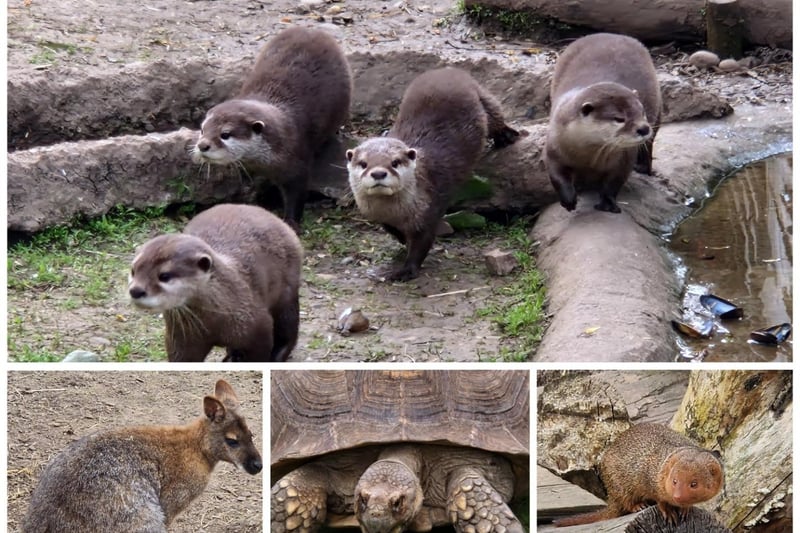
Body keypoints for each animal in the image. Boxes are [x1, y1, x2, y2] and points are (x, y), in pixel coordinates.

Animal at [128, 204, 304, 362]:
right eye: (133, 270)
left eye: (164, 276)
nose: (135, 290)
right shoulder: (182, 340)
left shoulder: (258, 326)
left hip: (287, 293)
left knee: (288, 329)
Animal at [192, 27, 352, 229]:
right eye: (202, 130)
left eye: (225, 134)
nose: (202, 145)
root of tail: (312, 29)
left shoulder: (297, 162)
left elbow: (297, 194)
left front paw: (291, 222)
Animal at [344, 67, 520, 282]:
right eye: (363, 163)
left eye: (395, 162)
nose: (378, 173)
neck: (396, 213)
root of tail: (447, 70)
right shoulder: (381, 218)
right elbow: (393, 231)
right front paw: (402, 240)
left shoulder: (429, 210)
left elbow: (421, 245)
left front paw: (405, 270)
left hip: (482, 96)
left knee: (495, 114)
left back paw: (506, 136)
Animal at [544, 31, 664, 212]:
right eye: (619, 118)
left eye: (642, 112)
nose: (643, 128)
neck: (587, 156)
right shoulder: (554, 145)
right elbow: (556, 174)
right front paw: (569, 200)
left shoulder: (624, 158)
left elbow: (614, 182)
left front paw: (607, 204)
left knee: (649, 145)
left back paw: (643, 168)